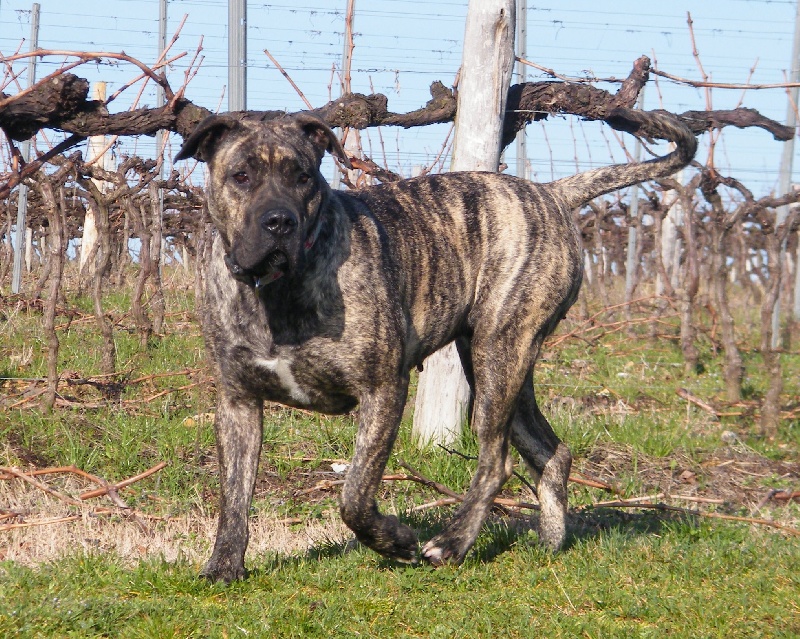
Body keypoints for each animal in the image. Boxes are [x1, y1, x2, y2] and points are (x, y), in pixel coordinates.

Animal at [175, 109, 692, 580]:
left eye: (303, 176)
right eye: (241, 176)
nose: (279, 221)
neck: (276, 291)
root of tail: (551, 192)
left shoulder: (383, 389)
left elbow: (355, 494)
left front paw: (395, 541)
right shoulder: (238, 402)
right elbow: (235, 495)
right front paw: (224, 566)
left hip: (498, 354)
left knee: (495, 460)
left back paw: (452, 542)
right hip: (501, 365)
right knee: (550, 452)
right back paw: (550, 541)